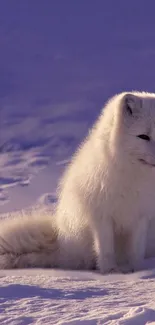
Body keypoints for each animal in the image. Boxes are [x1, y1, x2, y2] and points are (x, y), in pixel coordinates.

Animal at [0, 92, 155, 272]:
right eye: (143, 136)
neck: (133, 176)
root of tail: (60, 241)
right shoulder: (101, 216)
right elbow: (106, 249)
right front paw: (110, 271)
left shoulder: (142, 215)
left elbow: (136, 251)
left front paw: (136, 270)